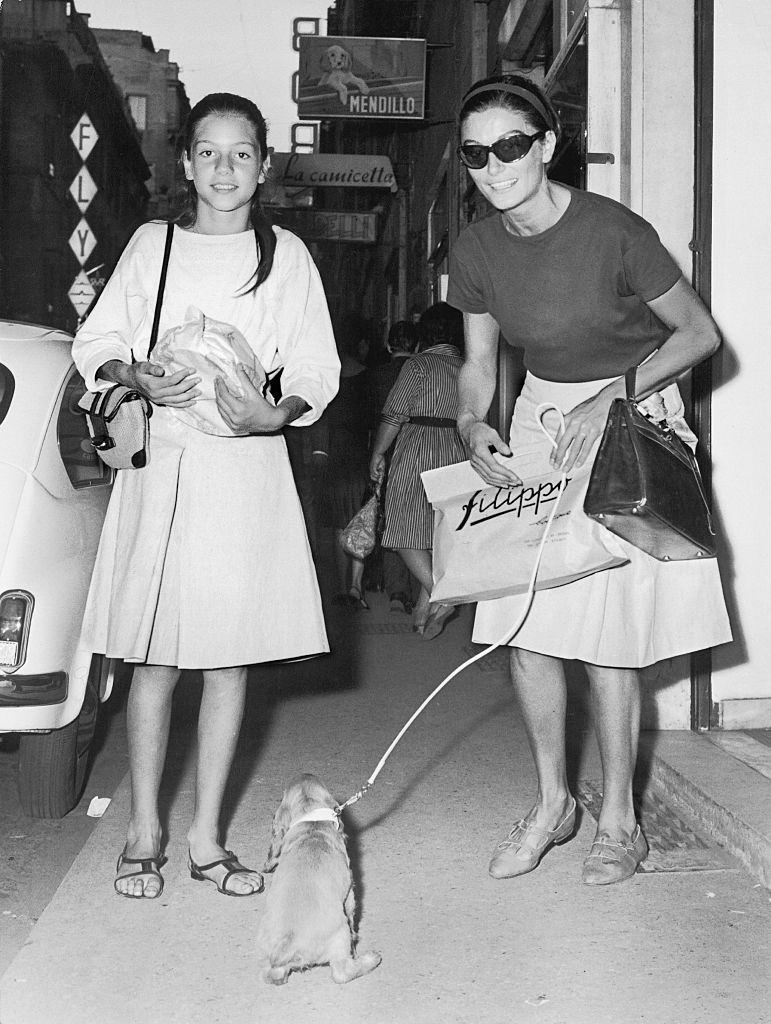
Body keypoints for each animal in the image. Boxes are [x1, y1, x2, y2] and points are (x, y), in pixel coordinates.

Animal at [257, 774, 380, 983]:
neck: (312, 824)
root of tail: (285, 948)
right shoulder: (349, 897)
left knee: (271, 975)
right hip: (340, 934)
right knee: (341, 972)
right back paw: (371, 959)